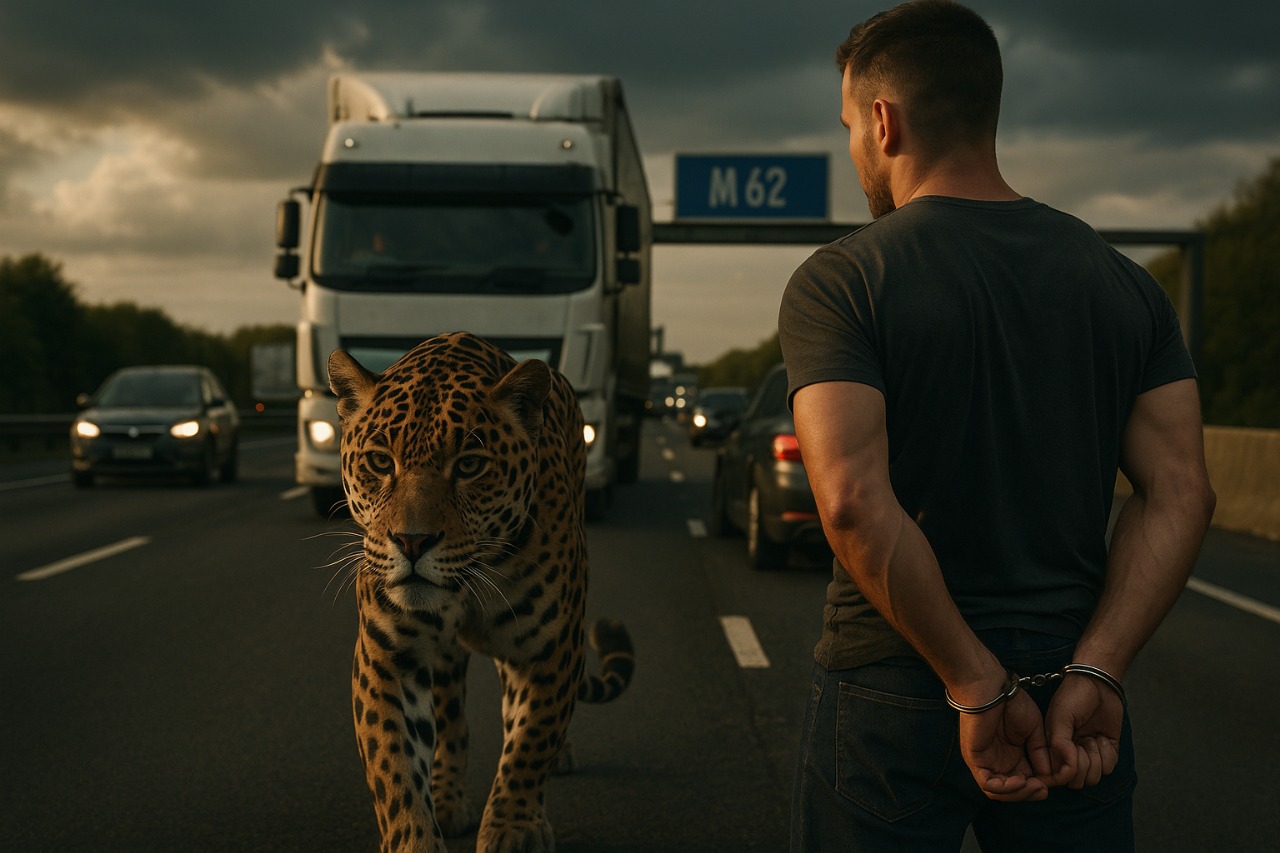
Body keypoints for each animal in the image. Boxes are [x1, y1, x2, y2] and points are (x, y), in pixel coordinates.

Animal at [328, 331, 635, 853]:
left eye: (469, 465)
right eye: (380, 461)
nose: (412, 541)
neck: (469, 581)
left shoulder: (550, 649)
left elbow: (531, 740)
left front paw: (514, 829)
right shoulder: (386, 656)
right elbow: (395, 767)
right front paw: (416, 837)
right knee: (452, 719)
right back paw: (448, 796)